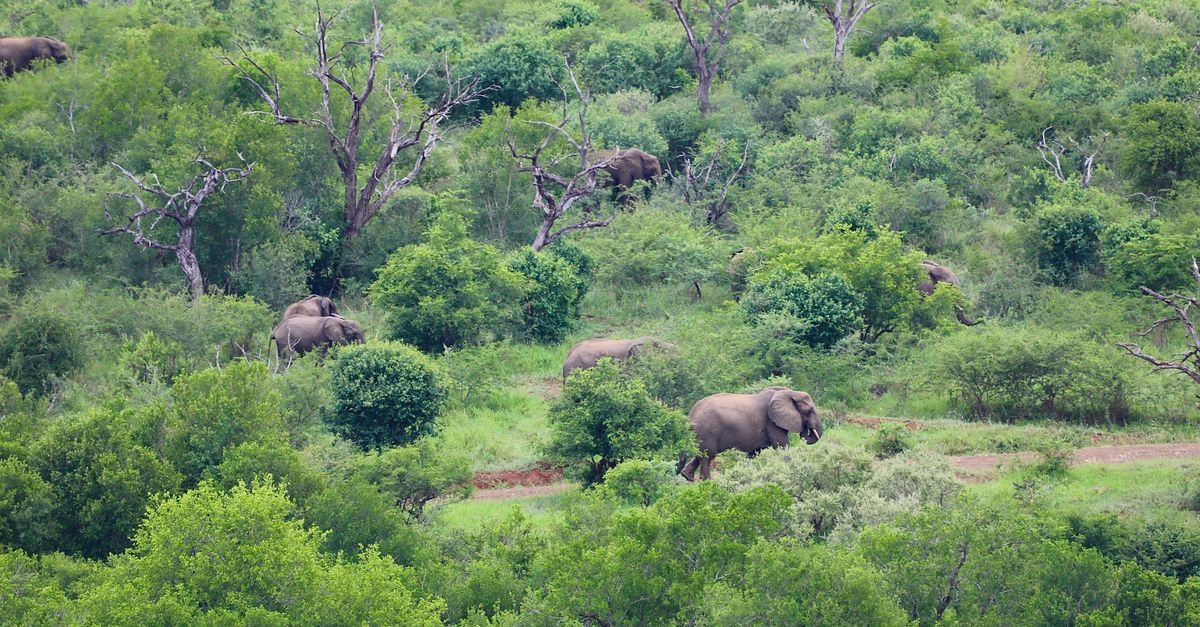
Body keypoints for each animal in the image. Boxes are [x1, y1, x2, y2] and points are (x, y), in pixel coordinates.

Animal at [680, 387, 822, 481]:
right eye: (809, 411)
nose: (805, 432)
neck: (790, 392)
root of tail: (690, 415)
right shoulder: (772, 423)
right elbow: (782, 446)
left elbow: (754, 452)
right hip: (707, 430)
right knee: (707, 455)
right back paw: (707, 481)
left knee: (701, 454)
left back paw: (687, 476)